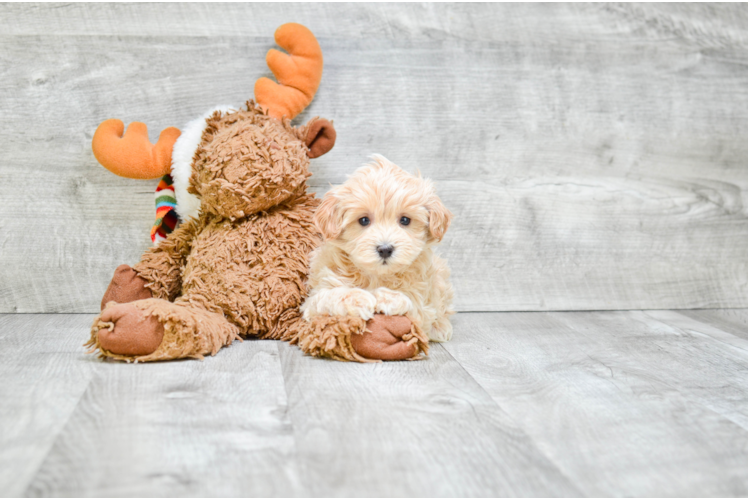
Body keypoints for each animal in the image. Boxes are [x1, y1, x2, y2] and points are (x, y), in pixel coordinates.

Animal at [300, 155, 452, 344]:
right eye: (364, 220)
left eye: (405, 220)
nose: (385, 249)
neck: (376, 275)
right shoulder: (315, 298)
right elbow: (329, 295)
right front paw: (359, 299)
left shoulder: (423, 302)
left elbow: (414, 305)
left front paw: (388, 298)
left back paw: (441, 327)